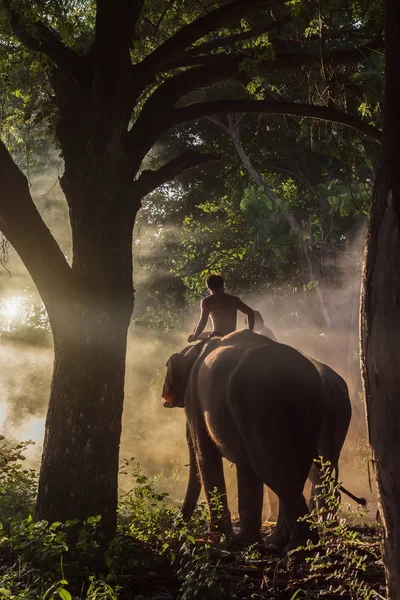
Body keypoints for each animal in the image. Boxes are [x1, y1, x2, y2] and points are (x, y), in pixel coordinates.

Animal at [162, 330, 366, 552]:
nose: (174, 527)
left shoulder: (195, 399)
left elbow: (206, 455)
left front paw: (219, 538)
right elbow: (244, 469)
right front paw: (245, 541)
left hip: (260, 409)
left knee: (276, 472)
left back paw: (299, 547)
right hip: (310, 414)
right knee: (303, 470)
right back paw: (287, 541)